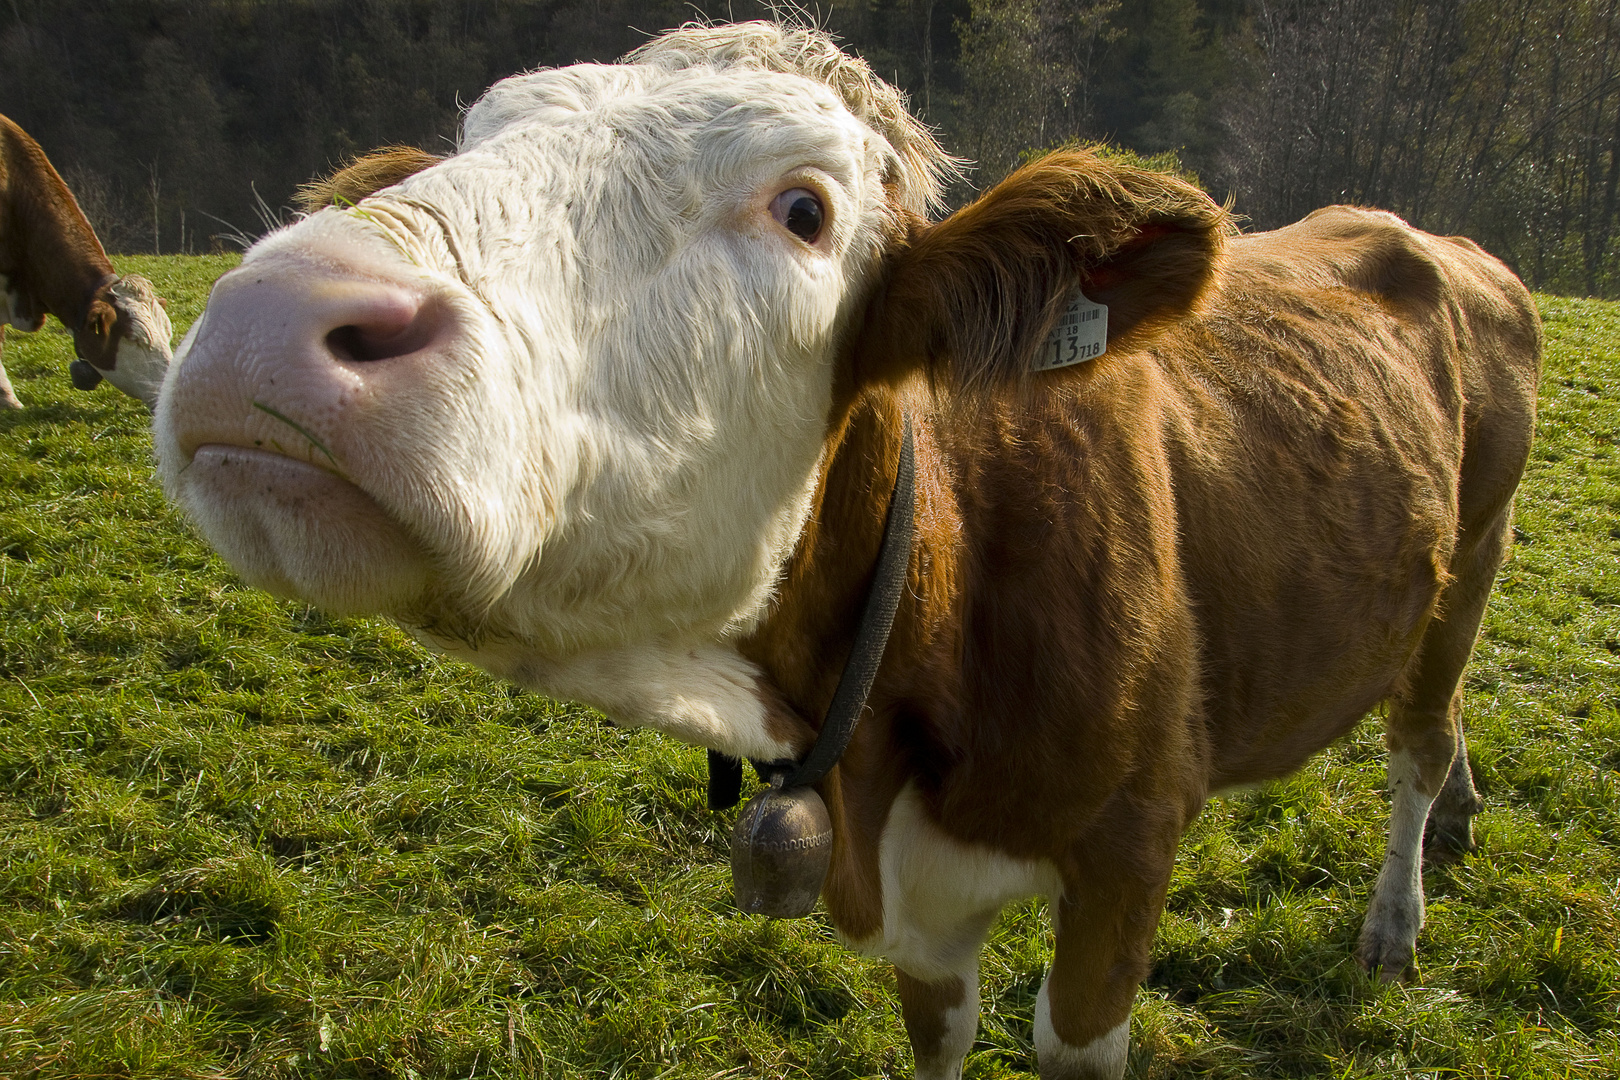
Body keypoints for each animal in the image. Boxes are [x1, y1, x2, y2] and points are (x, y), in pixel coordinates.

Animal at [152, 21, 1542, 1075]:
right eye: (474, 140)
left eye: (805, 209)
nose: (274, 313)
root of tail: (1428, 234)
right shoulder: (918, 925)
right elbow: (941, 1037)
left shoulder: (1128, 855)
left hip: (1472, 557)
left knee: (1419, 740)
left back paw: (1398, 918)